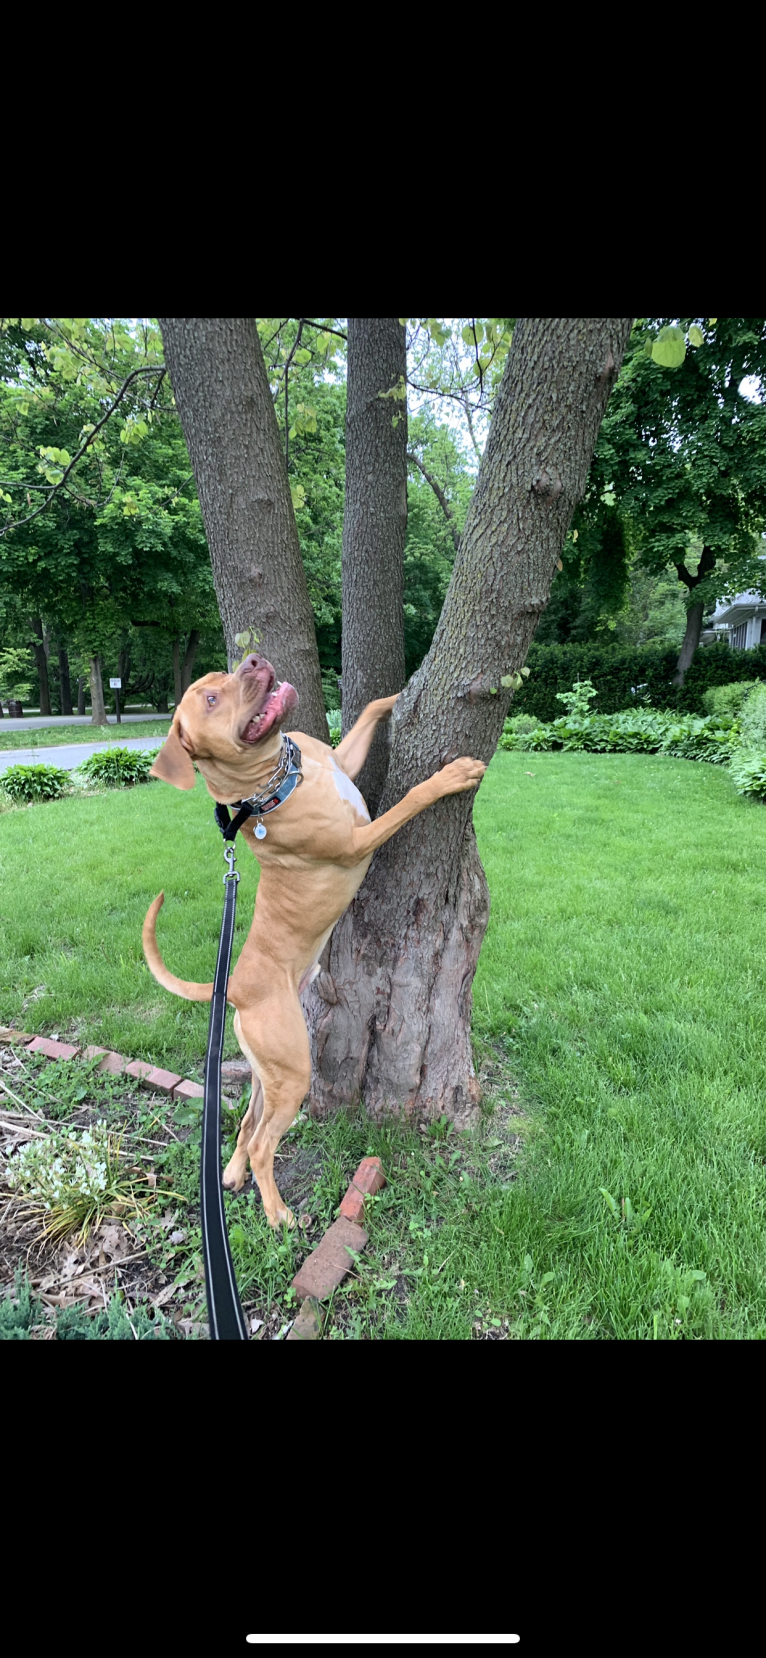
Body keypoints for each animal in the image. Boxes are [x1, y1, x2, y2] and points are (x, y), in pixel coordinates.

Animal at [143, 653, 484, 1226]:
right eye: (210, 699)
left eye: (223, 676)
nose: (253, 659)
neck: (283, 778)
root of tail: (234, 986)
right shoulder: (360, 839)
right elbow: (412, 797)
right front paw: (452, 775)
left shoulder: (343, 758)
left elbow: (368, 710)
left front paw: (402, 690)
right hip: (294, 1069)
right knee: (264, 1142)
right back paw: (278, 1213)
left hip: (270, 1072)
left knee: (246, 1124)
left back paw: (231, 1175)